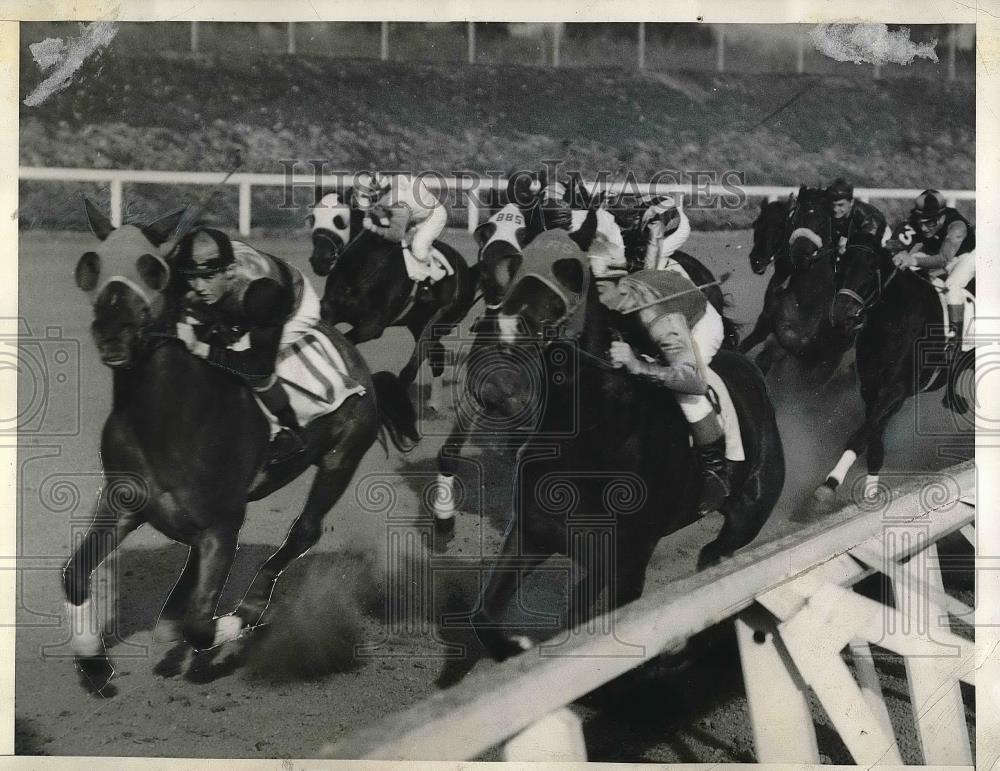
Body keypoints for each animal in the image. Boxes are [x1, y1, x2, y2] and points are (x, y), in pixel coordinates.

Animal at [63, 199, 418, 692]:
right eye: (92, 266)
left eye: (152, 269)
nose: (113, 332)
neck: (165, 418)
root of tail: (357, 359)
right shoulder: (124, 502)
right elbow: (75, 576)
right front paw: (94, 664)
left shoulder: (224, 523)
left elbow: (201, 625)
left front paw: (238, 624)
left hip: (341, 457)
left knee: (304, 531)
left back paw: (248, 610)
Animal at [306, 191, 478, 408]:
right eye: (313, 219)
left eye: (339, 221)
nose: (319, 261)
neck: (361, 268)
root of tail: (468, 271)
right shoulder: (329, 309)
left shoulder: (372, 326)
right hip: (417, 323)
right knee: (437, 354)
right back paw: (433, 404)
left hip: (438, 321)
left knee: (412, 367)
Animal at [468, 232, 788, 660]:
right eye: (504, 297)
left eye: (557, 302)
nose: (496, 387)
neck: (593, 436)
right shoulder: (532, 533)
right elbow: (484, 615)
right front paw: (513, 647)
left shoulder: (629, 556)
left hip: (748, 515)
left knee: (714, 553)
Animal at [816, 232, 972, 504]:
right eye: (840, 265)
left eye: (870, 270)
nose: (841, 313)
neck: (893, 323)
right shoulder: (872, 389)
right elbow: (874, 433)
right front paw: (870, 489)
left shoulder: (896, 390)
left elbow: (862, 434)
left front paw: (831, 482)